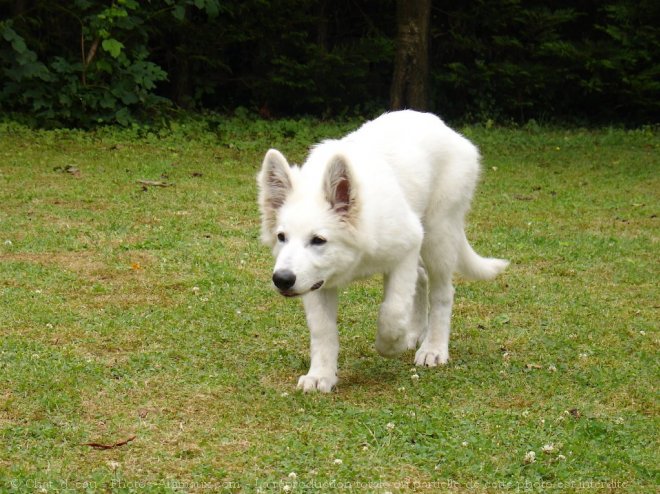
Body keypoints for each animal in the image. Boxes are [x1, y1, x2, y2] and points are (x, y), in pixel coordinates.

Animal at [255, 110, 508, 392]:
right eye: (281, 237)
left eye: (318, 240)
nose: (282, 280)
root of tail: (444, 127)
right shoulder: (315, 281)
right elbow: (323, 331)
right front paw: (321, 375)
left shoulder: (408, 245)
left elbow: (392, 311)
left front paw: (390, 345)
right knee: (421, 279)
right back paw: (415, 332)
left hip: (438, 233)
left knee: (442, 293)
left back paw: (433, 348)